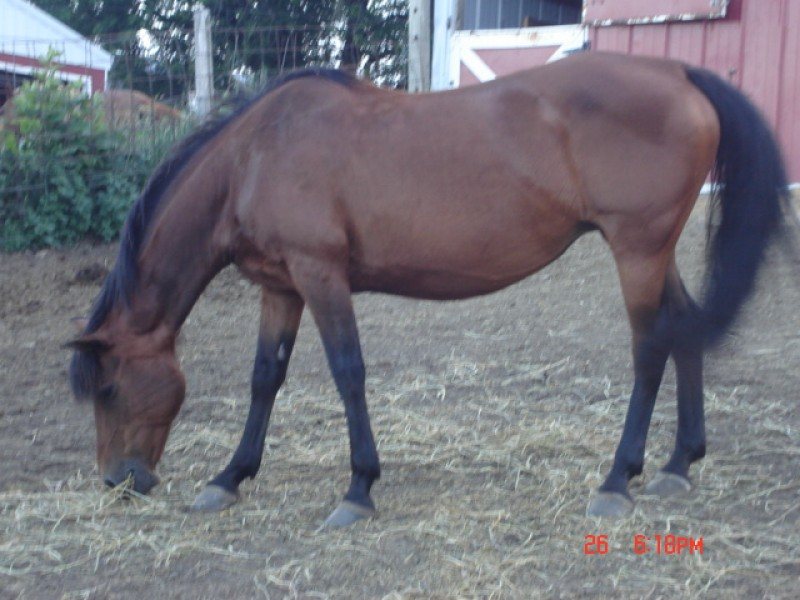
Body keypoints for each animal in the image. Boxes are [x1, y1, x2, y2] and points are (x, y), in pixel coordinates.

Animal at [68, 52, 789, 526]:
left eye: (108, 389)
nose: (117, 481)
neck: (255, 157)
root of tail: (677, 72)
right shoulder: (282, 286)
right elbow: (264, 379)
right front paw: (230, 477)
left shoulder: (321, 274)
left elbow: (348, 372)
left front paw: (358, 489)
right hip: (651, 249)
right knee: (684, 328)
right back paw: (678, 464)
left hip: (636, 248)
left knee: (650, 348)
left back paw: (618, 479)